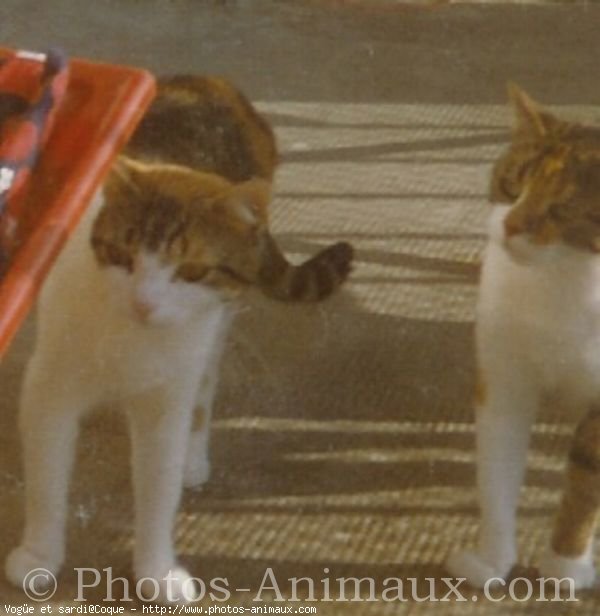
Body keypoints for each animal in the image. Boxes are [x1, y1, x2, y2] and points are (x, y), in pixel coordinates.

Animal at [446, 84, 600, 588]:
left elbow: (585, 482)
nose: (512, 225)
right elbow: (496, 468)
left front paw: (566, 563)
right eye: (513, 184)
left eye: (563, 208)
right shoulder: (503, 378)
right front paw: (491, 559)